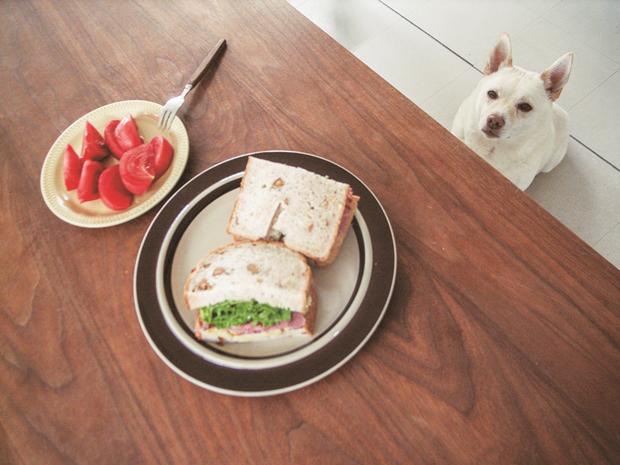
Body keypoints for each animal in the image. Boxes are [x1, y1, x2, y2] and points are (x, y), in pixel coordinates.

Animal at [450, 32, 572, 189]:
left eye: (525, 107)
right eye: (492, 94)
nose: (494, 121)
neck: (490, 148)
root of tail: (562, 112)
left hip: (549, 164)